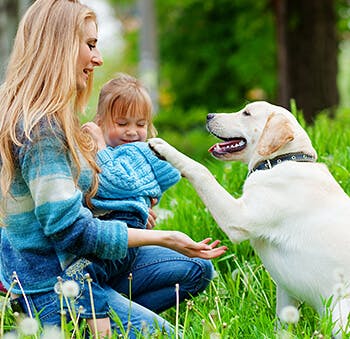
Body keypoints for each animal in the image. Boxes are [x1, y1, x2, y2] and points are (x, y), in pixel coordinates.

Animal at [149, 101, 350, 338]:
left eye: (246, 113)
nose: (208, 116)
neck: (280, 161)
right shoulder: (285, 291)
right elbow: (282, 325)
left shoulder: (237, 217)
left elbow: (201, 169)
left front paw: (163, 148)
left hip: (338, 312)